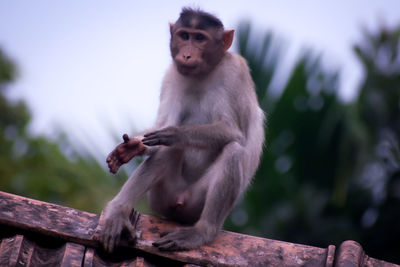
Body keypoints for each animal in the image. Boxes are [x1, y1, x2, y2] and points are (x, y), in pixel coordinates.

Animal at [97, 7, 266, 252]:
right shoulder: (172, 75)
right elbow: (160, 127)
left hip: (195, 204)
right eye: (184, 36)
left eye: (200, 38)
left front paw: (175, 133)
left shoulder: (235, 71)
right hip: (161, 199)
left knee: (233, 150)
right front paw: (131, 147)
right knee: (166, 152)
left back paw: (202, 232)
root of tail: (180, 203)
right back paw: (118, 212)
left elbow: (234, 132)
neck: (203, 73)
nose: (186, 55)